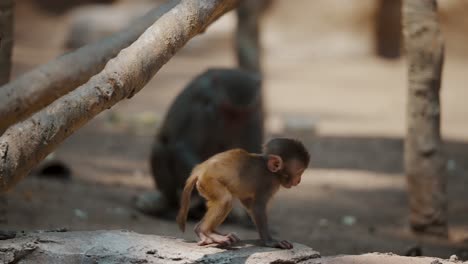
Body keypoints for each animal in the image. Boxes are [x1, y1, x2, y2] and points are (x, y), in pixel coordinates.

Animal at [177, 138, 308, 250]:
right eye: (299, 172)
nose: (299, 180)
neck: (272, 171)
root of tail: (201, 168)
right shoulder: (268, 184)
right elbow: (257, 208)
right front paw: (270, 241)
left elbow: (248, 203)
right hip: (209, 180)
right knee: (225, 199)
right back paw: (205, 231)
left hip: (204, 186)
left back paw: (206, 232)